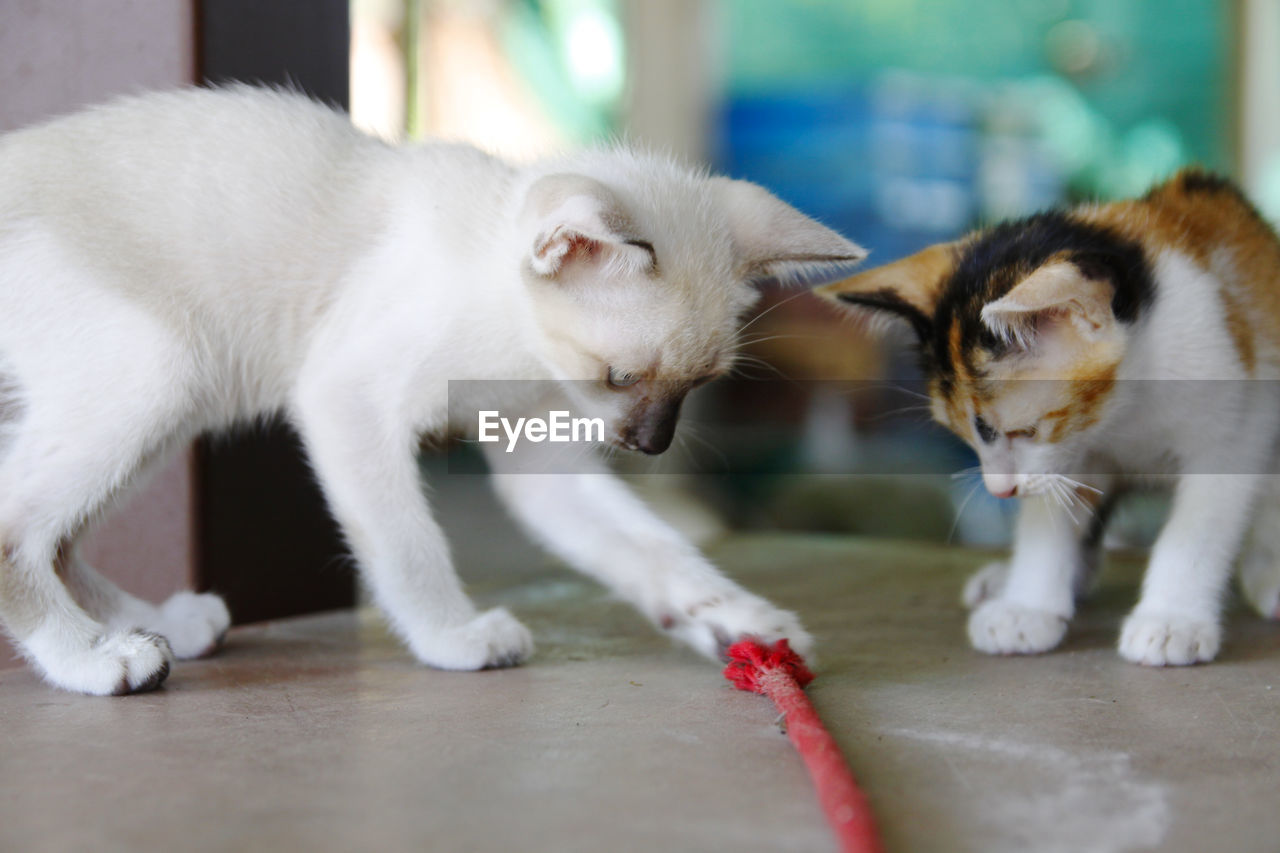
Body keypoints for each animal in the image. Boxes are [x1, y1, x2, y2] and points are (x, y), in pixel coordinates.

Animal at [0, 86, 865, 691]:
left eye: (702, 384)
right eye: (621, 376)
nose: (650, 444)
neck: (516, 344)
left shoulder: (543, 459)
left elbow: (653, 547)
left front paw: (740, 622)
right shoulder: (345, 397)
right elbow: (409, 545)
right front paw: (455, 637)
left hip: (168, 400)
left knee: (59, 534)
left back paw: (159, 626)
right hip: (160, 370)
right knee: (19, 527)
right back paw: (96, 657)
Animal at [819, 169, 1280, 666]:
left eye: (1022, 431)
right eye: (965, 436)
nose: (999, 491)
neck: (1124, 407)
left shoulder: (1233, 422)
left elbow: (1199, 525)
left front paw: (1172, 620)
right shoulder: (1067, 455)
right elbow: (1051, 512)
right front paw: (1027, 608)